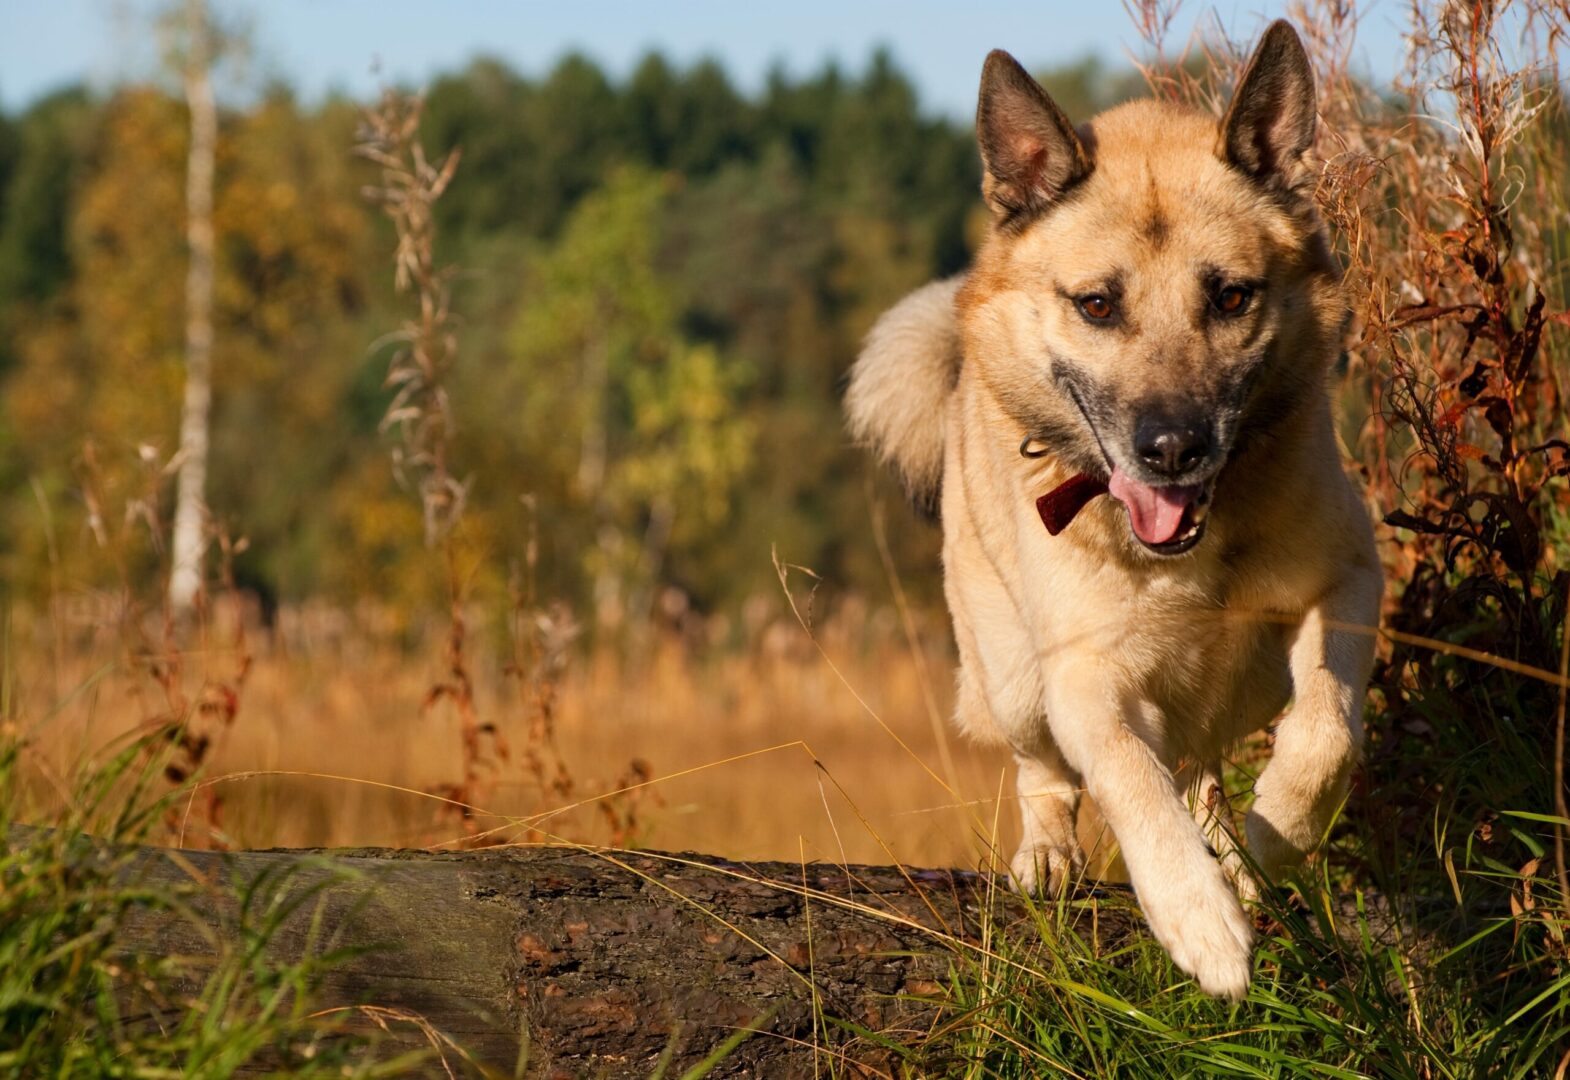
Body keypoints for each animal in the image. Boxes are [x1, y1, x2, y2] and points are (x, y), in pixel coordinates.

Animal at [854, 19, 1381, 998]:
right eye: (1097, 304)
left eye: (1232, 296)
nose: (1171, 448)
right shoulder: (1085, 676)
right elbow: (1131, 781)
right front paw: (1199, 919)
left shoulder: (1348, 583)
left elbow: (1328, 729)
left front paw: (1267, 842)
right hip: (1013, 677)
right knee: (1048, 776)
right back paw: (1051, 857)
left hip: (1240, 682)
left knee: (1206, 762)